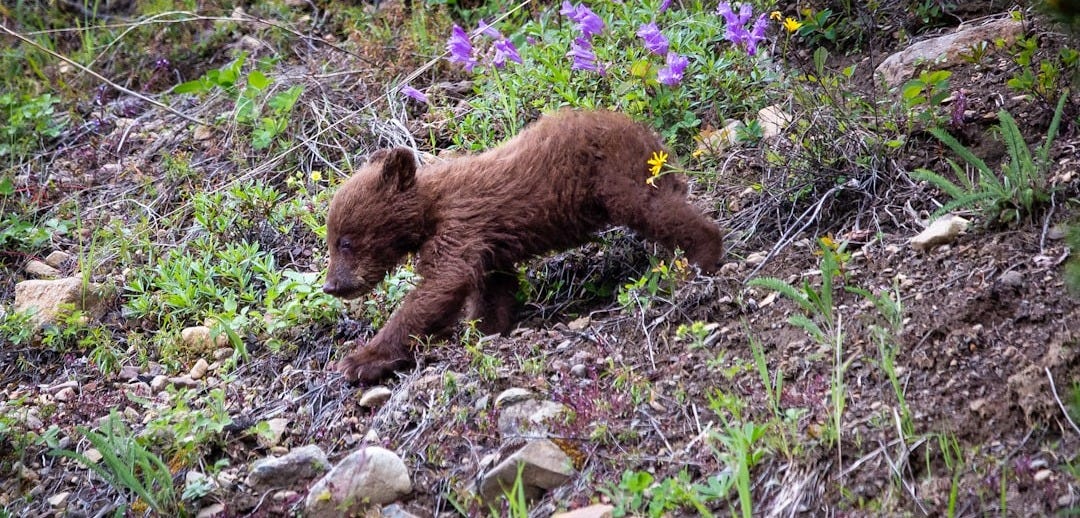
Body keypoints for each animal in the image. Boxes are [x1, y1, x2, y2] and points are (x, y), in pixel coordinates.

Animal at [323, 109, 724, 384]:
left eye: (346, 241)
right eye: (331, 240)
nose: (331, 286)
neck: (429, 210)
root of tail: (649, 135)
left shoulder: (461, 223)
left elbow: (441, 283)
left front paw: (361, 360)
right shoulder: (488, 244)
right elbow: (492, 287)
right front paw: (487, 328)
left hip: (617, 175)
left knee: (656, 209)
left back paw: (702, 260)